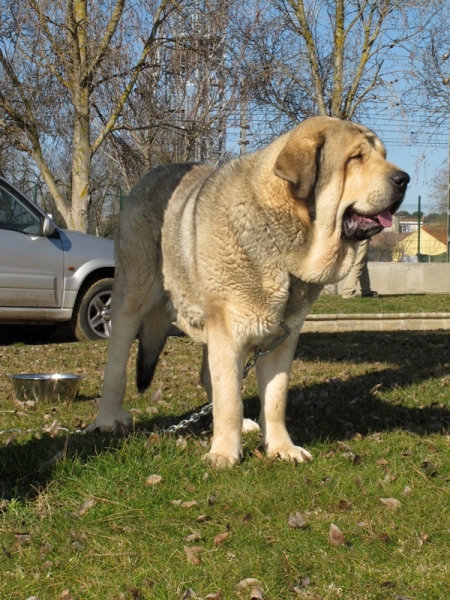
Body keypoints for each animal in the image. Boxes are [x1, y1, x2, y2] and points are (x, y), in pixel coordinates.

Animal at [89, 115, 410, 466]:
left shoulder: (282, 339)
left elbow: (275, 398)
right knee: (117, 365)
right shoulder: (227, 331)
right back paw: (108, 418)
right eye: (356, 158)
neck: (282, 240)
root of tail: (149, 175)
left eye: (382, 155)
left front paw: (282, 447)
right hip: (133, 296)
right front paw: (224, 453)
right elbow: (230, 397)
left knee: (210, 376)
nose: (404, 179)